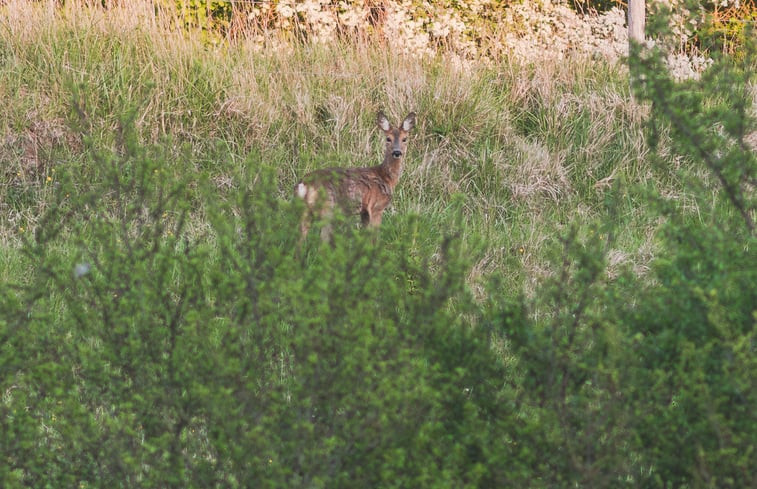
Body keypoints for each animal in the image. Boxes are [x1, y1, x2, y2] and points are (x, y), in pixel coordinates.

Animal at [292, 111, 416, 240]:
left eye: (404, 139)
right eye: (388, 138)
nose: (397, 152)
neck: (386, 177)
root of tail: (304, 184)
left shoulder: (364, 212)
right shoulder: (376, 207)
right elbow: (374, 237)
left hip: (304, 211)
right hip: (328, 207)